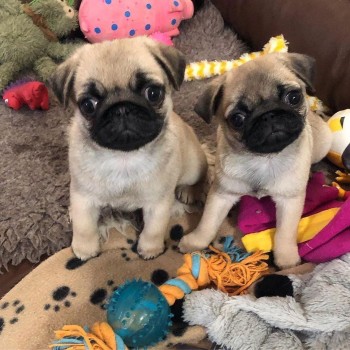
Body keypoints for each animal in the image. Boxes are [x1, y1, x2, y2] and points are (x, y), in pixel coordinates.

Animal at [50, 37, 206, 262]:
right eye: (88, 105)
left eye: (153, 93)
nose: (121, 108)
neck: (124, 157)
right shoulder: (83, 198)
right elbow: (84, 226)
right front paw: (84, 248)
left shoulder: (158, 203)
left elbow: (154, 228)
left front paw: (149, 249)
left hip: (193, 165)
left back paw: (188, 190)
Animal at [179, 53, 332, 270]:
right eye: (237, 119)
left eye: (293, 97)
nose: (268, 114)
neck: (264, 158)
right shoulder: (222, 194)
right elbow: (208, 222)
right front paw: (195, 241)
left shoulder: (289, 201)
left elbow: (285, 232)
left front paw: (286, 259)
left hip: (323, 144)